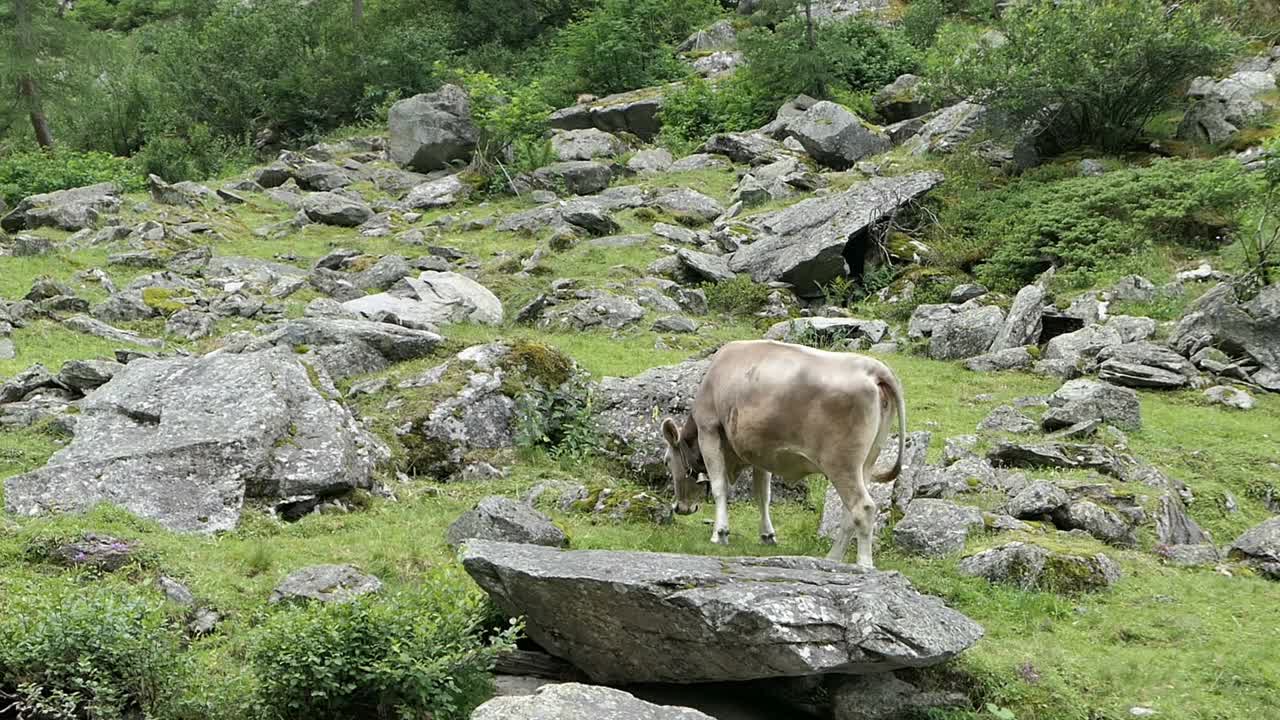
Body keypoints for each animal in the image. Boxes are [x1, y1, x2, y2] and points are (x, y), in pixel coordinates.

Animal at [665, 338, 906, 568]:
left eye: (667, 461)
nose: (679, 507)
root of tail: (873, 368)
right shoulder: (759, 452)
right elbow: (763, 494)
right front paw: (767, 535)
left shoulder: (709, 430)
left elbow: (719, 487)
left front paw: (720, 533)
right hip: (867, 462)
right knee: (849, 513)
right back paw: (832, 558)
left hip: (842, 463)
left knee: (862, 507)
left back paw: (863, 564)